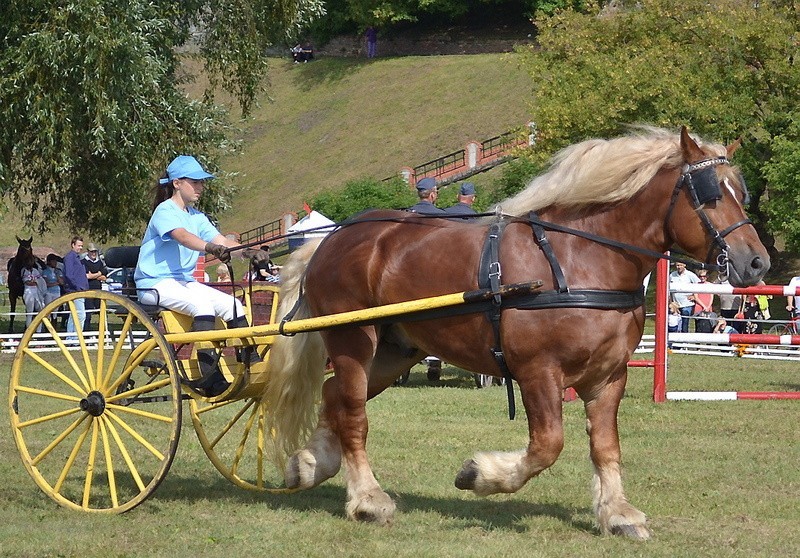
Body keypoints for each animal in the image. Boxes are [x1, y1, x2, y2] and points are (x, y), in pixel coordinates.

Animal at [260, 127, 768, 540]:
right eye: (710, 195)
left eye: (740, 192)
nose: (757, 263)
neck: (581, 257)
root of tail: (331, 239)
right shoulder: (538, 371)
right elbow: (547, 445)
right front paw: (480, 474)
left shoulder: (609, 376)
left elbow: (605, 446)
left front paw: (618, 514)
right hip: (353, 342)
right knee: (352, 414)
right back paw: (368, 499)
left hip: (395, 351)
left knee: (335, 397)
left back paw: (310, 465)